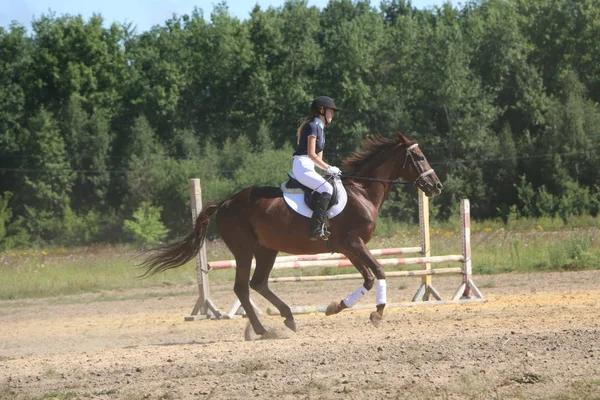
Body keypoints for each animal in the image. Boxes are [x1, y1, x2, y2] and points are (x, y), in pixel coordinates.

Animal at [141, 132, 440, 338]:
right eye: (419, 157)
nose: (436, 186)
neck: (363, 191)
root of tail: (226, 202)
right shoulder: (353, 243)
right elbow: (379, 271)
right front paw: (377, 314)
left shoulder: (349, 247)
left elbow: (367, 277)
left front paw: (336, 307)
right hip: (244, 250)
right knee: (243, 287)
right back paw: (263, 330)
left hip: (267, 249)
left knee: (258, 283)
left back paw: (287, 318)